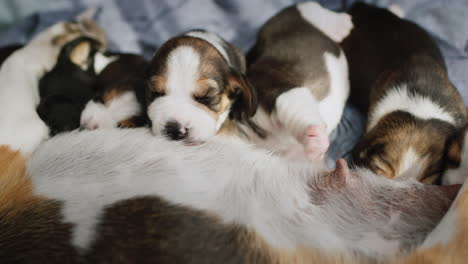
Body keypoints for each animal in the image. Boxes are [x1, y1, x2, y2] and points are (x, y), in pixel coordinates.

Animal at [245, 1, 352, 161]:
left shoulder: (277, 92)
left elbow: (294, 111)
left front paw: (315, 140)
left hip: (299, 15)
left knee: (310, 9)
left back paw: (341, 24)